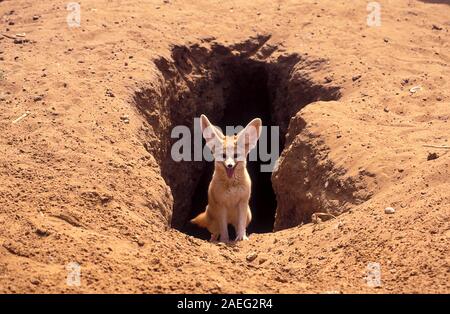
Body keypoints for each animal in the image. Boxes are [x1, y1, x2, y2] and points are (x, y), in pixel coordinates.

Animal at [191, 115, 262, 243]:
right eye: (223, 156)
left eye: (235, 156)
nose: (229, 165)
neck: (231, 186)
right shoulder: (221, 205)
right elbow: (224, 229)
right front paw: (224, 241)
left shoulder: (242, 202)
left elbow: (241, 226)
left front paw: (242, 237)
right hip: (214, 223)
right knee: (215, 232)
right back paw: (214, 240)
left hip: (248, 214)